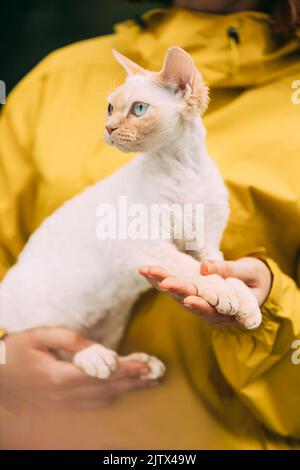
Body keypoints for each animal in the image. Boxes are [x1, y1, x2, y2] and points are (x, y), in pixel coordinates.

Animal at [0, 46, 260, 378]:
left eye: (138, 109)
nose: (108, 128)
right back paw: (97, 359)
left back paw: (139, 365)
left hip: (112, 320)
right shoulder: (147, 244)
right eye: (110, 108)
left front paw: (245, 302)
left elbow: (219, 271)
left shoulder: (207, 246)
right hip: (43, 309)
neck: (184, 169)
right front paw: (224, 293)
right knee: (51, 339)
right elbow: (190, 268)